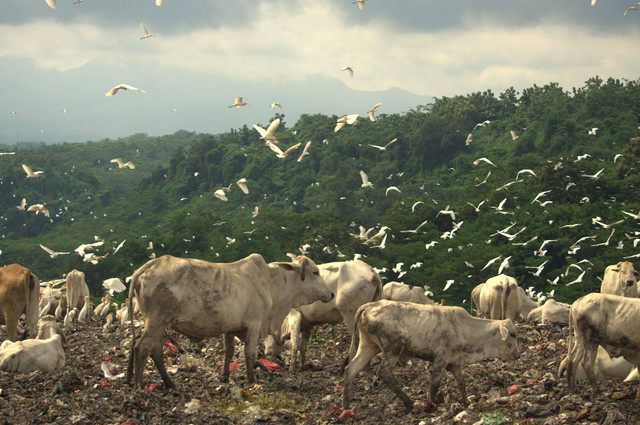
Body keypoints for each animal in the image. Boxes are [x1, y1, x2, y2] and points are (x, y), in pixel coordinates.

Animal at [126, 252, 336, 388]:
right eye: (315, 272)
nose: (332, 293)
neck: (271, 283)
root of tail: (149, 265)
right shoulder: (254, 323)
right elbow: (249, 353)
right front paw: (252, 380)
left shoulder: (230, 327)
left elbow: (228, 353)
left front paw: (225, 378)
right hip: (156, 321)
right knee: (142, 348)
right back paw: (140, 385)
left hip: (158, 324)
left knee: (155, 351)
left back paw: (169, 383)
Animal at [342, 298, 516, 410]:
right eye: (513, 334)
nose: (517, 354)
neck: (465, 328)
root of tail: (369, 305)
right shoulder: (441, 358)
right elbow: (435, 383)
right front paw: (431, 405)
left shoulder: (455, 363)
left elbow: (461, 384)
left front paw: (467, 404)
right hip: (393, 346)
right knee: (384, 372)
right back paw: (409, 403)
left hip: (368, 346)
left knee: (350, 370)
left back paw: (346, 407)